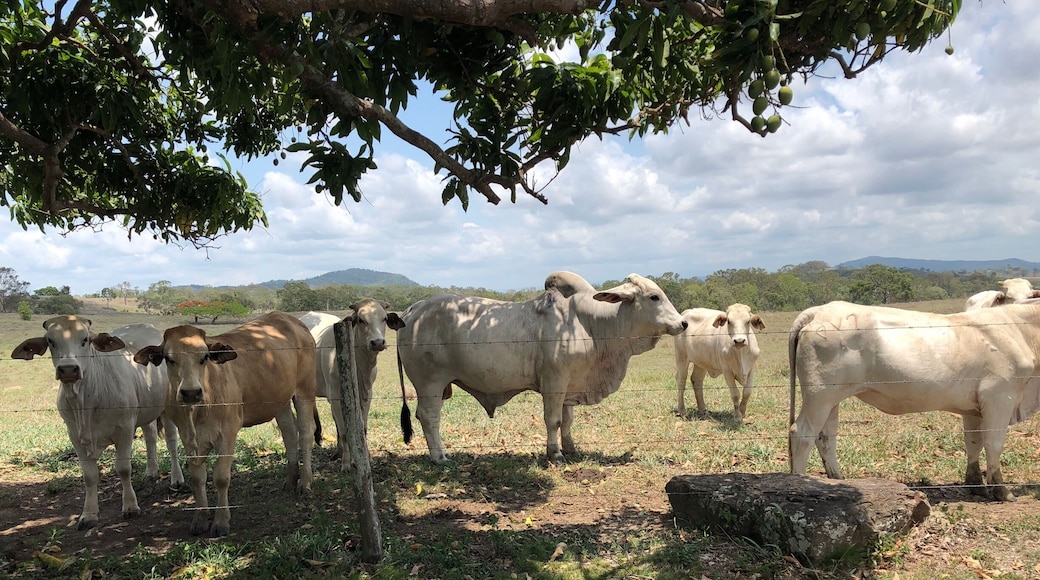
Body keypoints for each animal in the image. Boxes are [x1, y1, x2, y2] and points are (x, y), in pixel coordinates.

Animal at [11, 317, 182, 530]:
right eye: (50, 341)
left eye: (85, 339)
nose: (68, 369)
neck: (85, 401)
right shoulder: (75, 436)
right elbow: (90, 475)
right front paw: (89, 514)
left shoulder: (125, 429)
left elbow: (123, 469)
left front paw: (130, 506)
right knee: (150, 435)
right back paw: (151, 472)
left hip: (167, 407)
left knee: (171, 440)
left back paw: (176, 478)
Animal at [133, 311, 318, 536]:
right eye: (169, 359)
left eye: (204, 357)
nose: (191, 392)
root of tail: (291, 320)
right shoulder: (188, 437)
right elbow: (197, 478)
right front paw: (200, 518)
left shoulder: (228, 433)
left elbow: (221, 477)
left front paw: (221, 521)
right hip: (279, 399)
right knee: (289, 433)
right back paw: (290, 480)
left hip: (305, 391)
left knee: (306, 433)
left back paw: (305, 483)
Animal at [298, 299, 401, 470]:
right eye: (361, 320)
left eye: (385, 318)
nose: (377, 342)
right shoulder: (336, 396)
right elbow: (345, 432)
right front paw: (346, 464)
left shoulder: (366, 395)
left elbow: (362, 429)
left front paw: (365, 457)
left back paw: (339, 451)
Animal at [389, 272, 688, 464]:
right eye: (654, 297)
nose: (683, 323)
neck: (590, 323)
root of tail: (413, 309)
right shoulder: (554, 383)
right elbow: (553, 420)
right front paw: (555, 454)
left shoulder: (570, 384)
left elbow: (567, 420)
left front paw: (571, 448)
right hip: (430, 383)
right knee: (429, 417)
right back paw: (440, 457)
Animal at [788, 300, 1040, 501]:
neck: (1020, 330)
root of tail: (819, 311)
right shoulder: (1000, 397)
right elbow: (994, 444)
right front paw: (1002, 491)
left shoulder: (973, 408)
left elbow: (973, 443)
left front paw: (976, 485)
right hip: (819, 396)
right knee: (802, 434)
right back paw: (799, 485)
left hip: (831, 400)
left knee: (825, 438)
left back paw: (838, 481)